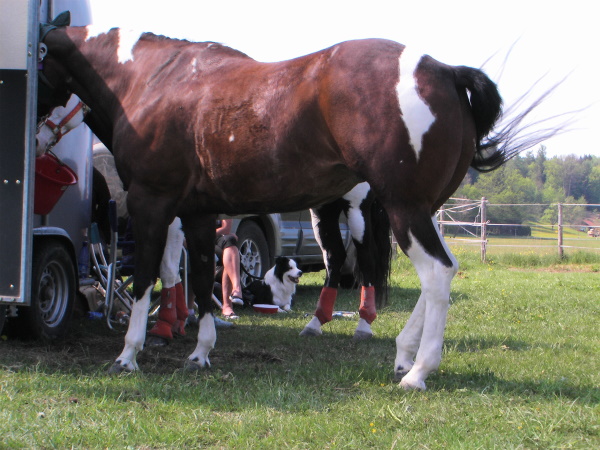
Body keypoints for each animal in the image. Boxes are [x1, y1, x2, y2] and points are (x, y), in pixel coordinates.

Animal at [39, 18, 552, 390]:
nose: (40, 139)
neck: (152, 80)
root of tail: (444, 71)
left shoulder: (152, 204)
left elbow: (148, 276)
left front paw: (128, 354)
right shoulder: (200, 215)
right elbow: (199, 280)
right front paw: (199, 352)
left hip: (401, 208)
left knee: (436, 274)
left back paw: (417, 371)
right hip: (418, 210)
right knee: (437, 273)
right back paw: (401, 353)